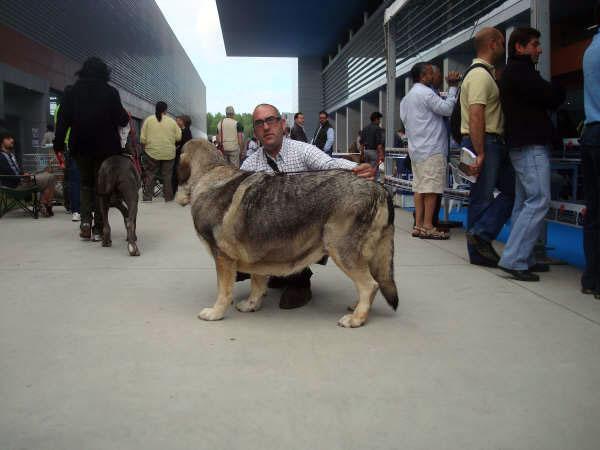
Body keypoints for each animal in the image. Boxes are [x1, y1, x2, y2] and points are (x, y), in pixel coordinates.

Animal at [175, 138, 398, 326]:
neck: (209, 173)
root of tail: (379, 187)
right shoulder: (256, 254)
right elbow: (257, 283)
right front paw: (251, 304)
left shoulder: (222, 257)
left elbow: (223, 291)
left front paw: (215, 313)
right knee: (373, 282)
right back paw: (357, 307)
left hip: (342, 250)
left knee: (370, 285)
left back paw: (356, 319)